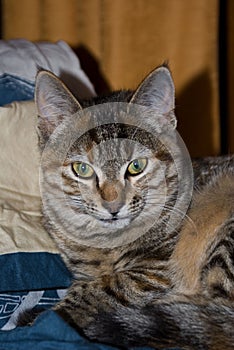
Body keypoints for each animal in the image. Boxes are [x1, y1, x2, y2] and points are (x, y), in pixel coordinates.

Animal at [33, 66, 233, 350]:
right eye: (81, 169)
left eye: (136, 166)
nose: (113, 205)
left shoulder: (155, 271)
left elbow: (102, 288)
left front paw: (44, 317)